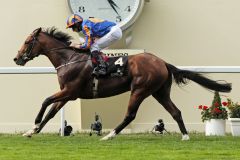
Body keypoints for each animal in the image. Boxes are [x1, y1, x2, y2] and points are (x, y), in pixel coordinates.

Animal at [14, 27, 232, 140]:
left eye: (27, 41)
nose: (17, 58)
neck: (69, 58)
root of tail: (162, 62)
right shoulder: (67, 94)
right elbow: (51, 112)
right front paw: (31, 131)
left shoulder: (70, 91)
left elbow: (45, 101)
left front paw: (34, 124)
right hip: (160, 92)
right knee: (175, 111)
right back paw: (185, 136)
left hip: (140, 89)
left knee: (130, 115)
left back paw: (109, 135)